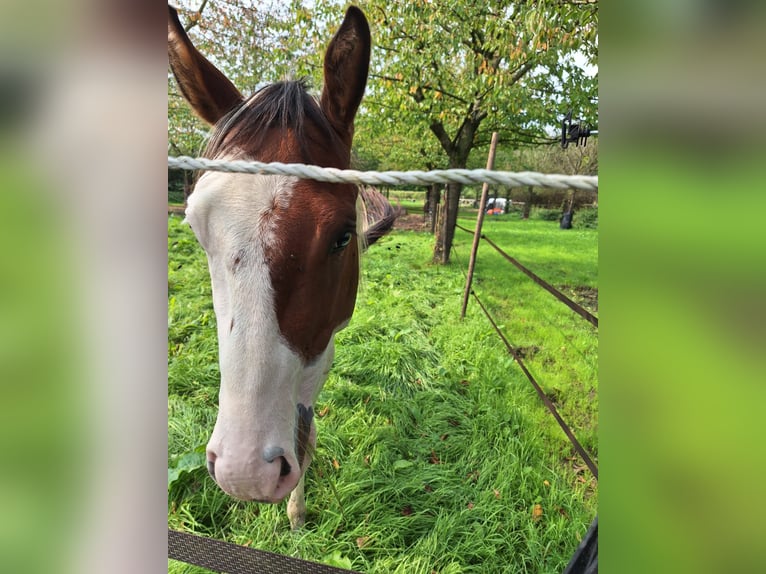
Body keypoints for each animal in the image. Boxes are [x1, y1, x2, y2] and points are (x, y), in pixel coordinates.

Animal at [167, 4, 390, 532]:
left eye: (342, 235)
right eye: (196, 230)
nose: (245, 471)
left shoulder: (322, 343)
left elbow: (307, 430)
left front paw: (296, 513)